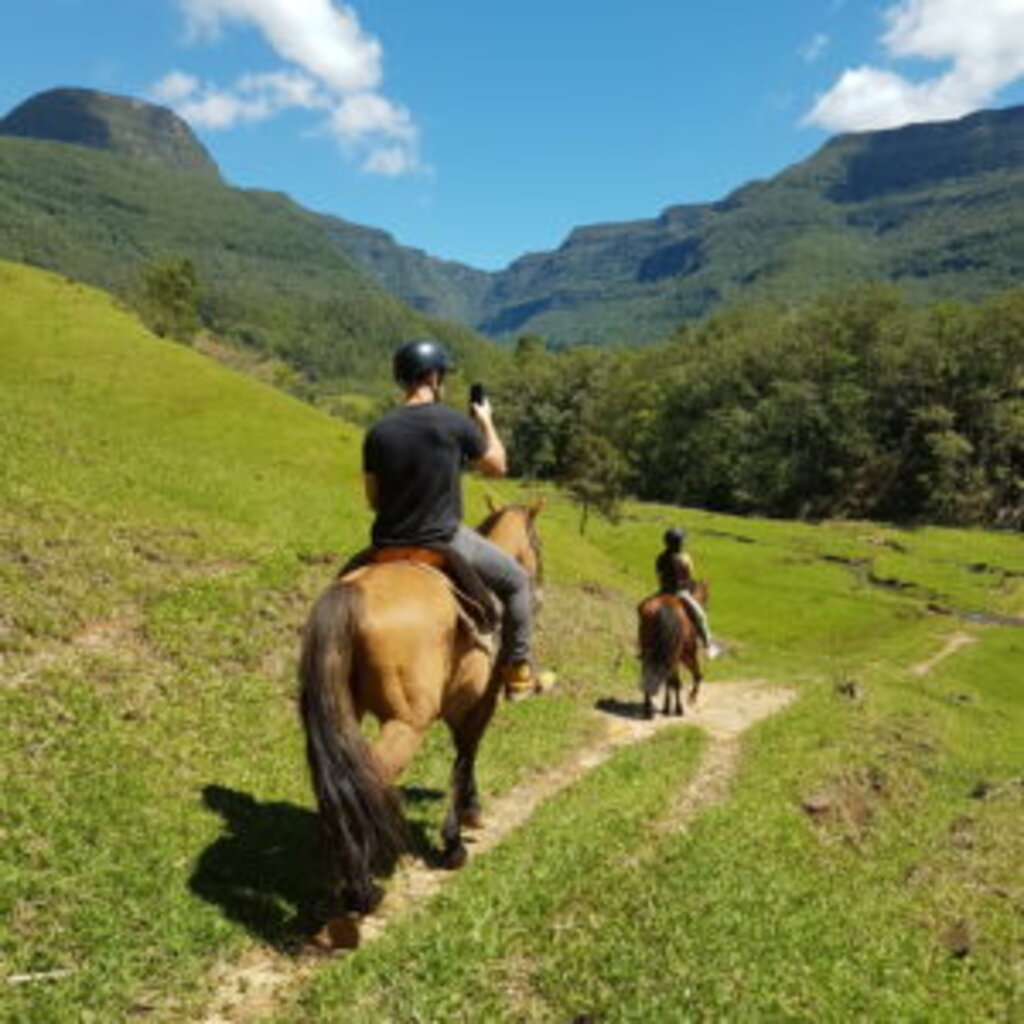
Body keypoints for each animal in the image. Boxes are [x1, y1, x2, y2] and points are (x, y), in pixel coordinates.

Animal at [299, 495, 544, 913]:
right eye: (538, 544)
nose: (539, 590)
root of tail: (355, 594)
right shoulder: (478, 704)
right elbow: (465, 758)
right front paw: (457, 838)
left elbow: (464, 758)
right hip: (407, 723)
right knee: (366, 781)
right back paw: (363, 889)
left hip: (346, 711)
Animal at [634, 581, 708, 716]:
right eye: (707, 597)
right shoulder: (687, 655)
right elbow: (697, 675)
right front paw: (691, 698)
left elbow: (668, 681)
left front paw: (666, 708)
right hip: (675, 654)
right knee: (676, 681)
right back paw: (679, 708)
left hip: (650, 651)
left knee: (649, 674)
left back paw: (648, 708)